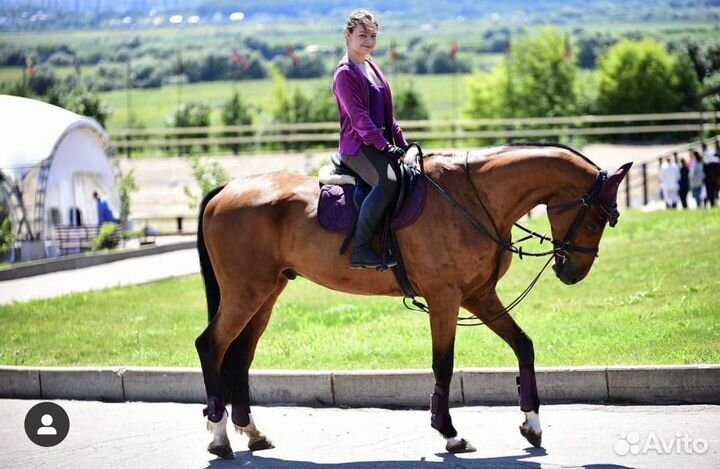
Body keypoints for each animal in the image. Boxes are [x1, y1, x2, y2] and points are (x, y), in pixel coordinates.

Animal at [194, 144, 632, 458]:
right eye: (597, 219)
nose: (572, 272)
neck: (473, 198)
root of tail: (225, 191)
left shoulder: (479, 295)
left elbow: (523, 345)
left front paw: (532, 423)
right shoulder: (445, 297)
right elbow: (443, 364)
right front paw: (449, 433)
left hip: (266, 294)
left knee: (240, 355)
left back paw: (252, 432)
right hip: (246, 292)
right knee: (211, 345)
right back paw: (220, 438)